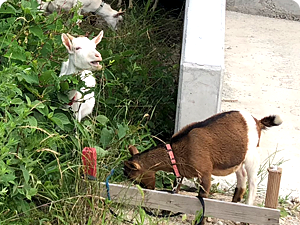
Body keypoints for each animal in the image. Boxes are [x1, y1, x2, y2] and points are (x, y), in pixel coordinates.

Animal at [123, 110, 282, 205]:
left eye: (134, 177)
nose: (149, 189)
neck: (177, 152)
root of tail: (257, 122)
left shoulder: (205, 172)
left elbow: (202, 198)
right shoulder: (181, 173)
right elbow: (176, 191)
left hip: (252, 155)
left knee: (253, 180)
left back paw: (248, 204)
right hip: (237, 158)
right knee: (241, 174)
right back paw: (235, 200)